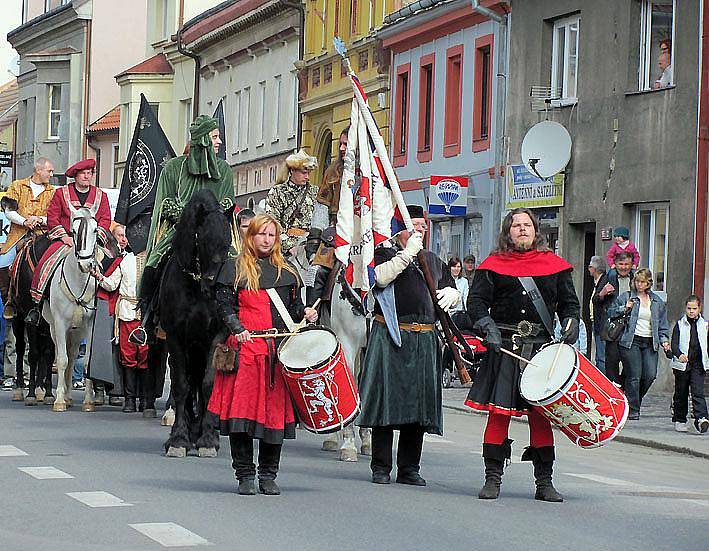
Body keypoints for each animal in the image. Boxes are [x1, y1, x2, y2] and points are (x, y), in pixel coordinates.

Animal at [45, 209, 114, 412]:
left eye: (95, 230)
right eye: (73, 231)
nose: (85, 265)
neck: (79, 281)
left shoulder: (90, 324)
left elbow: (87, 360)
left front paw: (89, 401)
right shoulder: (60, 323)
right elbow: (62, 360)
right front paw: (59, 401)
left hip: (77, 331)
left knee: (74, 354)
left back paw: (69, 395)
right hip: (55, 328)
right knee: (63, 355)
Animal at [159, 190, 231, 458]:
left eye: (228, 242)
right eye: (203, 239)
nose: (216, 286)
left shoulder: (216, 336)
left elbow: (208, 384)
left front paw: (208, 438)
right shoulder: (176, 337)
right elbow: (182, 385)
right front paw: (179, 438)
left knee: (199, 381)